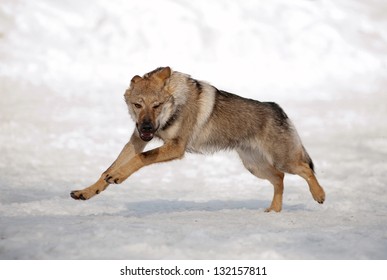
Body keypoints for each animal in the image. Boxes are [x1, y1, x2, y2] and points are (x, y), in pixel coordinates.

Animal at [71, 66, 326, 212]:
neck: (175, 102)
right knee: (280, 179)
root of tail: (278, 109)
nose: (147, 126)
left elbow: (140, 160)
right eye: (138, 105)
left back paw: (319, 195)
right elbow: (106, 170)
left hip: (283, 161)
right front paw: (87, 191)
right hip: (255, 167)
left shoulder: (175, 148)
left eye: (156, 105)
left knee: (305, 170)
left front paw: (118, 176)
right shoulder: (137, 140)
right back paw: (273, 212)